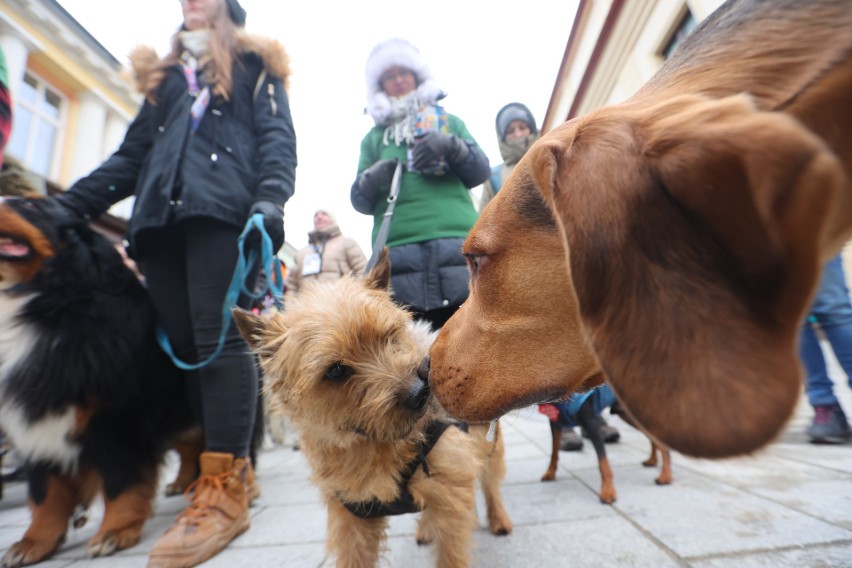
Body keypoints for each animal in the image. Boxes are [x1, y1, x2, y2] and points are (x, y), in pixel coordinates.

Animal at [235, 251, 512, 564]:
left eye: (389, 335)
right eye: (335, 371)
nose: (420, 393)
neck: (375, 444)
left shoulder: (450, 495)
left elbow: (451, 554)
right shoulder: (352, 518)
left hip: (489, 447)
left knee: (490, 484)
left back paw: (499, 519)